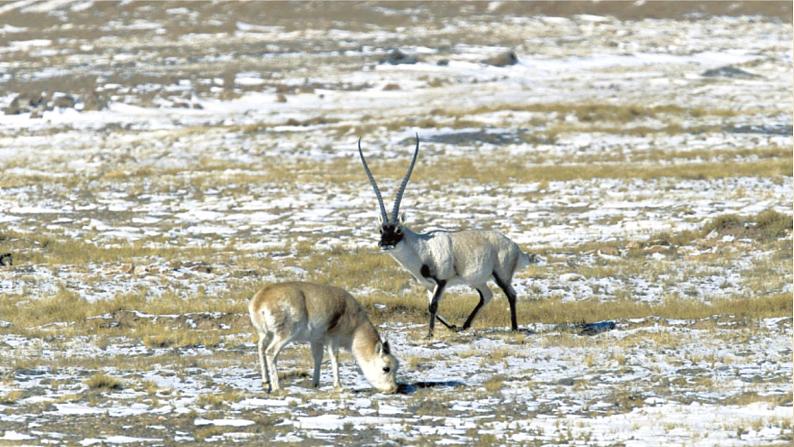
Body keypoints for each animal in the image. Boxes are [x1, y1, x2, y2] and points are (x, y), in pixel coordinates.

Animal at [246, 282, 396, 394]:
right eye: (386, 368)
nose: (393, 389)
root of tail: (260, 300)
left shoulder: (316, 341)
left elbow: (318, 358)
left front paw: (315, 383)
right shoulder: (333, 339)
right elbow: (334, 358)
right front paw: (339, 386)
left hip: (265, 334)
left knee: (261, 349)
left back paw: (266, 384)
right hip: (284, 335)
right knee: (270, 352)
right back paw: (277, 387)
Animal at [356, 135, 540, 338]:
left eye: (398, 230)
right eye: (381, 230)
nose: (385, 243)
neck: (421, 247)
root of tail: (516, 247)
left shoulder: (442, 281)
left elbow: (433, 306)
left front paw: (429, 335)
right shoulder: (429, 285)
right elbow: (429, 306)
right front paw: (450, 327)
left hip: (501, 275)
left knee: (511, 294)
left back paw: (514, 328)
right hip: (477, 280)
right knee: (487, 296)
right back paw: (464, 326)